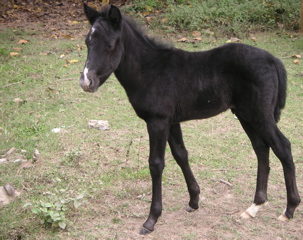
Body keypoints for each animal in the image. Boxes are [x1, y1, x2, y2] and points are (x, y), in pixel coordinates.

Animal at [81, 4, 302, 234]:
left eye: (110, 45)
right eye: (87, 42)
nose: (86, 82)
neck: (149, 70)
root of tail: (273, 60)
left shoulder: (157, 122)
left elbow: (156, 164)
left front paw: (151, 219)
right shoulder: (171, 121)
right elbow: (181, 155)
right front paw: (194, 201)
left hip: (260, 115)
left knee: (283, 147)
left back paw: (289, 209)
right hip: (245, 115)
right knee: (261, 149)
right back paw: (254, 207)